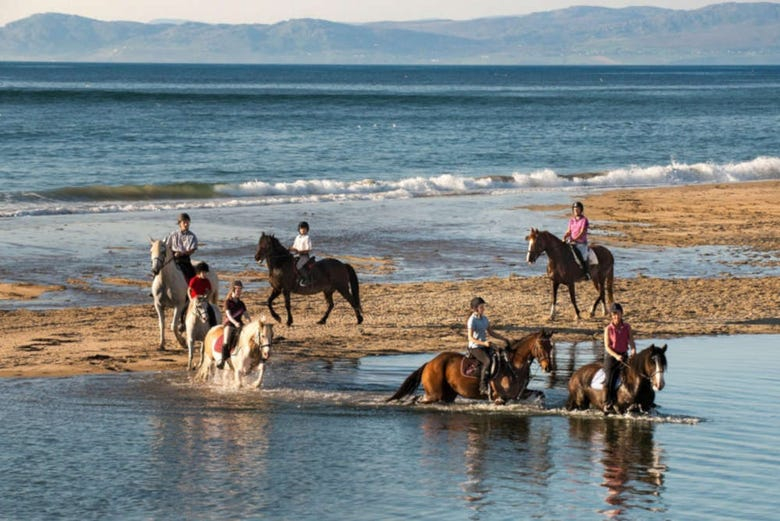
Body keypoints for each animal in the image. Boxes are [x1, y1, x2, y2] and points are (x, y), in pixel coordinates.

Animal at [386, 330, 552, 402]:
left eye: (550, 346)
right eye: (541, 346)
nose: (548, 367)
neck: (513, 366)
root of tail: (430, 363)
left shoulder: (518, 394)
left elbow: (540, 394)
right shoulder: (499, 398)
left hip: (448, 394)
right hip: (434, 394)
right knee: (419, 399)